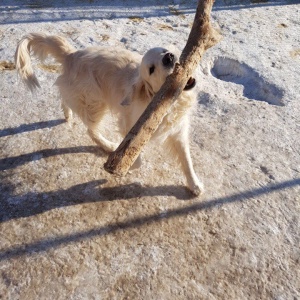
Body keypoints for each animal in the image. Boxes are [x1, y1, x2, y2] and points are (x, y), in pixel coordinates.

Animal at [14, 32, 204, 196]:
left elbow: (187, 160)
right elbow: (136, 159)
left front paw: (194, 184)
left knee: (65, 99)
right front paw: (124, 166)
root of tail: (71, 55)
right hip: (94, 103)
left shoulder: (178, 131)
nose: (169, 57)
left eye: (164, 51)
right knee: (91, 130)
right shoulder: (130, 127)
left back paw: (68, 114)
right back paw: (107, 145)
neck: (166, 100)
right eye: (151, 69)